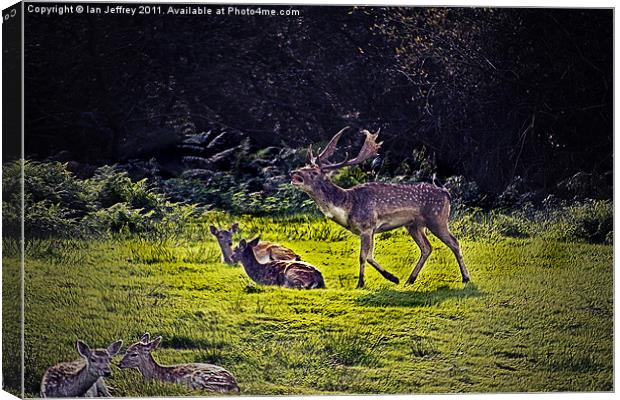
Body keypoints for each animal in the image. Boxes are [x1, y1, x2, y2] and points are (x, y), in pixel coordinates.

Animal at [290, 128, 470, 288]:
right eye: (304, 167)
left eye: (313, 172)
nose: (294, 172)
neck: (347, 206)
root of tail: (446, 193)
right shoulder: (371, 230)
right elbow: (369, 255)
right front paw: (393, 278)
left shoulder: (367, 226)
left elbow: (363, 256)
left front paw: (360, 284)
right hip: (414, 225)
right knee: (427, 248)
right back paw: (410, 280)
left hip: (437, 218)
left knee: (454, 242)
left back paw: (465, 278)